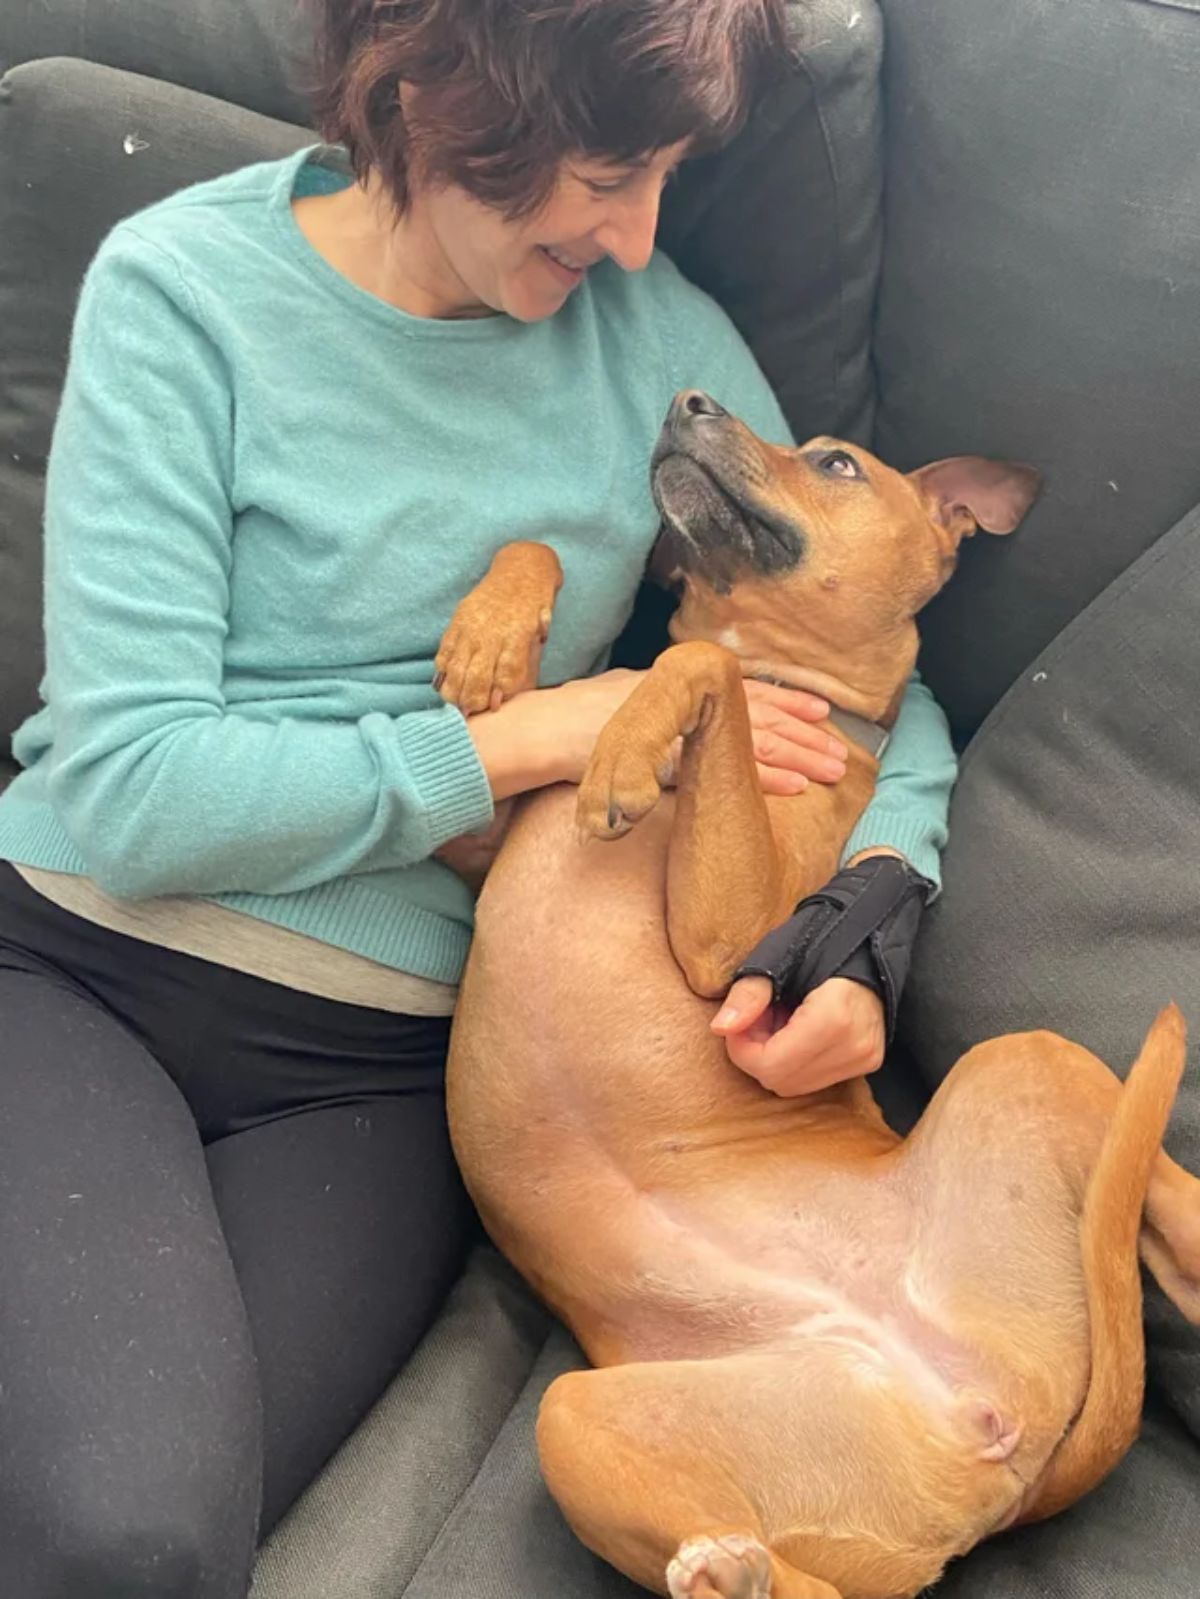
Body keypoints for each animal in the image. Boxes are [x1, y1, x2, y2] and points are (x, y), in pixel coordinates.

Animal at [438, 396, 1200, 1599]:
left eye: (837, 463)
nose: (688, 400)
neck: (782, 683)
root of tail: (983, 1423)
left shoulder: (728, 940)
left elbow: (691, 656)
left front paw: (630, 742)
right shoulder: (473, 850)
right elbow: (542, 572)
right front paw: (491, 639)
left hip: (1022, 1056)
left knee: (1161, 1184)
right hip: (588, 1422)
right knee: (797, 1585)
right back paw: (724, 1567)